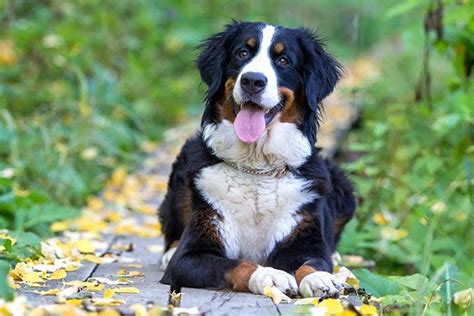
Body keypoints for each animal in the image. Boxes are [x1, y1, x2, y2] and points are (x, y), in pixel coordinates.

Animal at [159, 21, 356, 298]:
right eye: (242, 53)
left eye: (283, 60)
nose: (253, 80)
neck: (257, 167)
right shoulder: (190, 255)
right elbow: (237, 264)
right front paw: (269, 275)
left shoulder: (304, 239)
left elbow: (312, 262)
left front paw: (318, 278)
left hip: (342, 186)